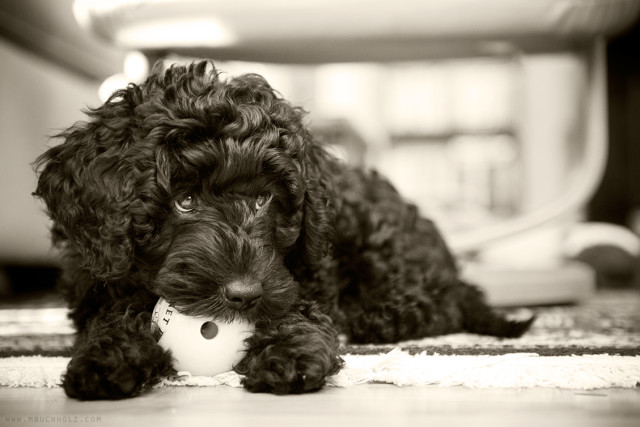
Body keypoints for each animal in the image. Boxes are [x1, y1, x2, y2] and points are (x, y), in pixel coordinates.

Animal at [35, 60, 536, 402]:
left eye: (263, 199)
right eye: (184, 200)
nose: (242, 294)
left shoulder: (301, 274)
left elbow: (296, 308)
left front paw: (290, 351)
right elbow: (113, 314)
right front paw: (109, 356)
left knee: (439, 305)